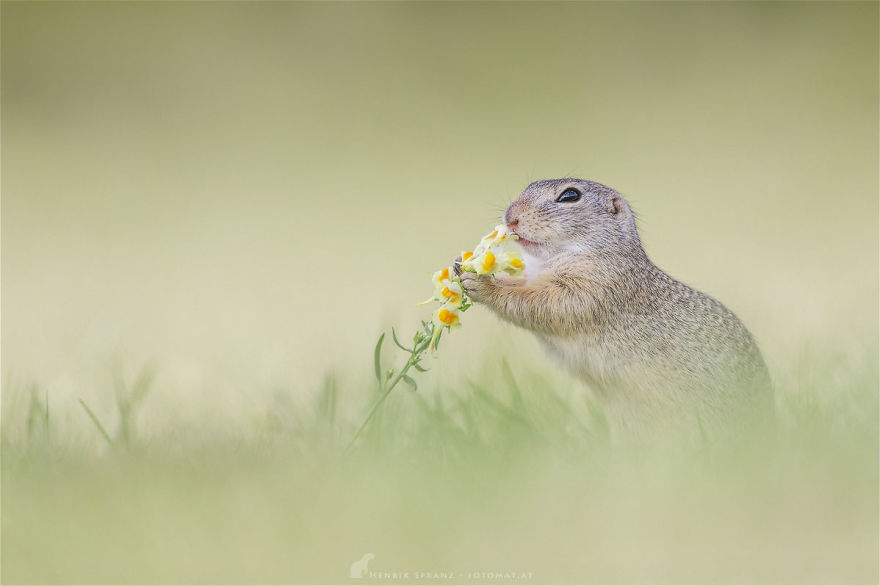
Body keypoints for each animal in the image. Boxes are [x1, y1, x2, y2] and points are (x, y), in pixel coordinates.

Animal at [456, 178, 772, 437]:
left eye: (569, 195)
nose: (511, 217)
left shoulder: (597, 287)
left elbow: (544, 304)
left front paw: (483, 283)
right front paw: (463, 263)